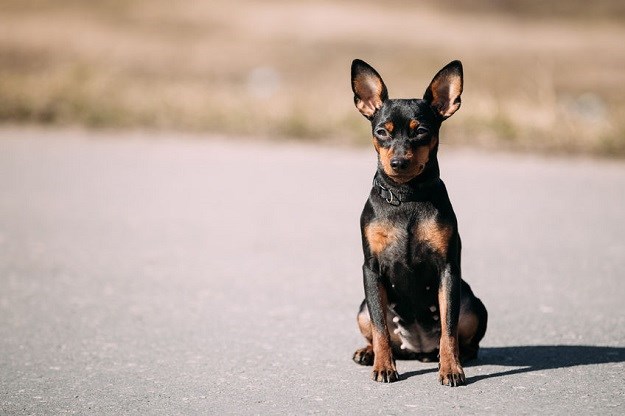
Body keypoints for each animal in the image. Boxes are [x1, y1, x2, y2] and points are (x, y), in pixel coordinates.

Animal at [352, 58, 488, 386]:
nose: (399, 163)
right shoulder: (371, 269)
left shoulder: (448, 269)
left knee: (466, 341)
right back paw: (368, 353)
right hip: (361, 307)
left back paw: (450, 356)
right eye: (381, 132)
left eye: (421, 131)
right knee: (379, 331)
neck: (407, 196)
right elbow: (380, 327)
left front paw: (451, 369)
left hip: (473, 304)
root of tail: (416, 349)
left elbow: (449, 329)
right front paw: (384, 366)